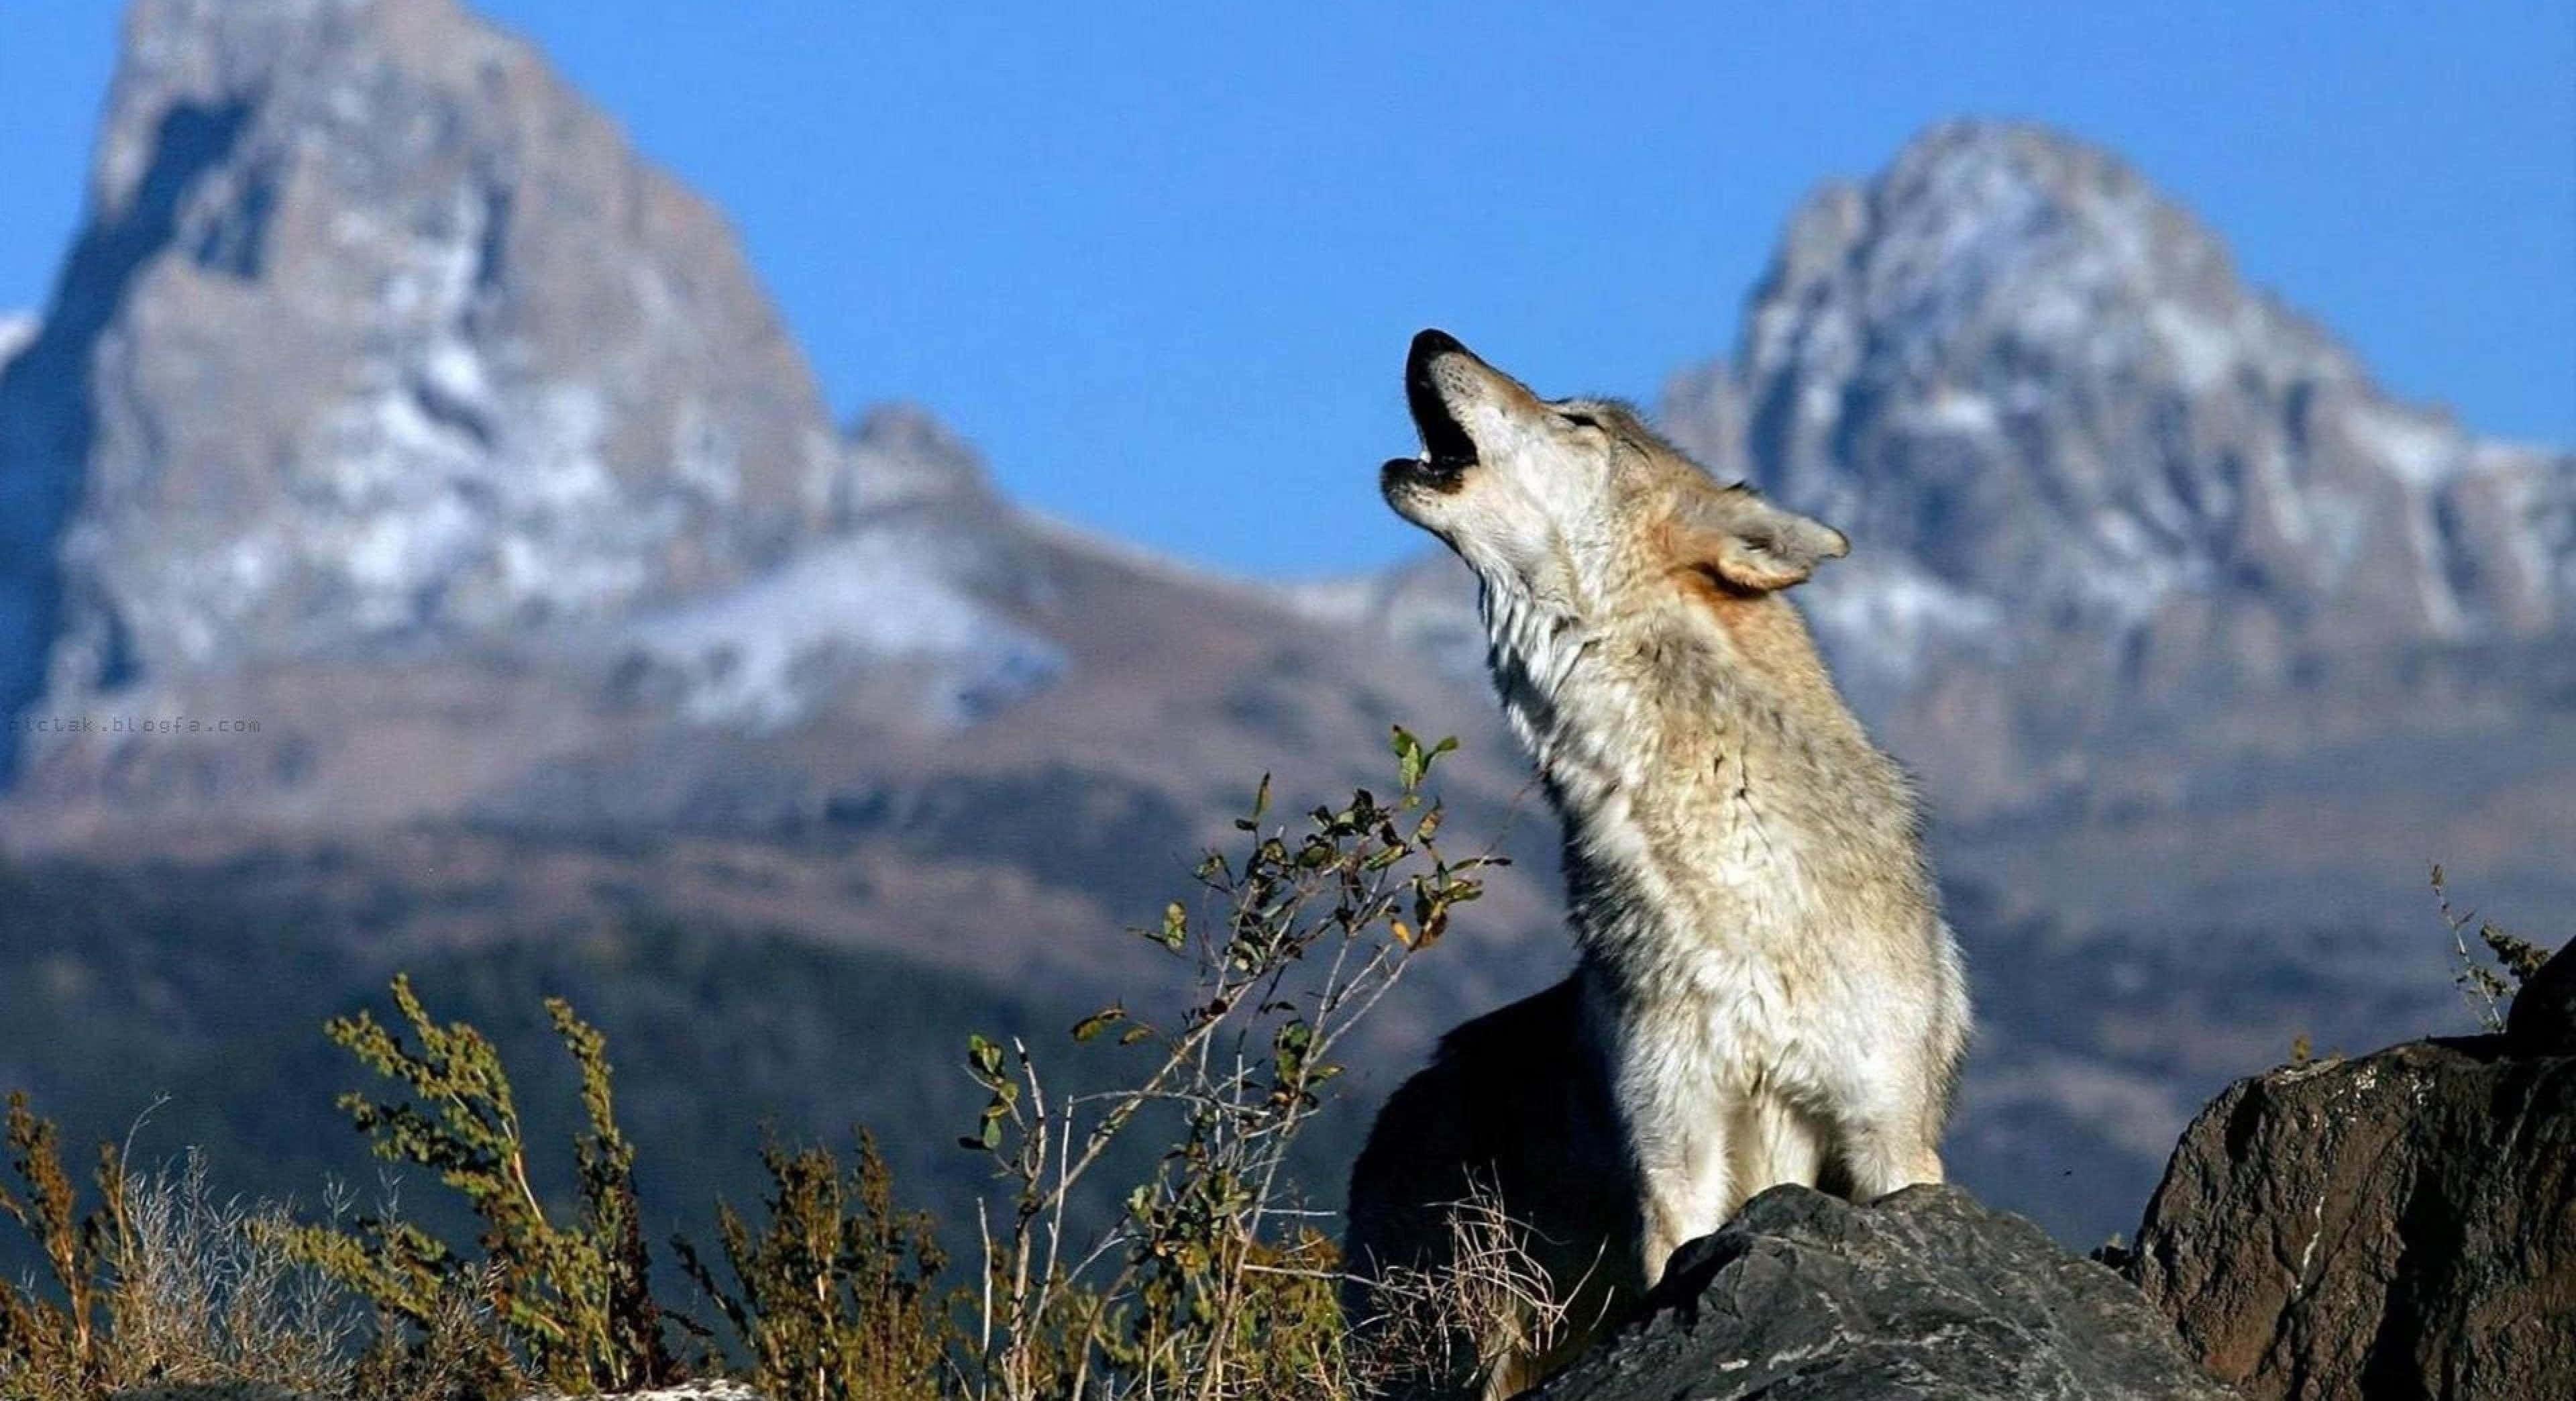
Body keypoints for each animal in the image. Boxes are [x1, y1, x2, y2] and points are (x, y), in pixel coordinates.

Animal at [1342, 330, 1971, 1394]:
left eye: (1578, 421)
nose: (1431, 337)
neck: (1734, 877)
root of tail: (1395, 1111)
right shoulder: (1676, 1157)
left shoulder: (1889, 1139)